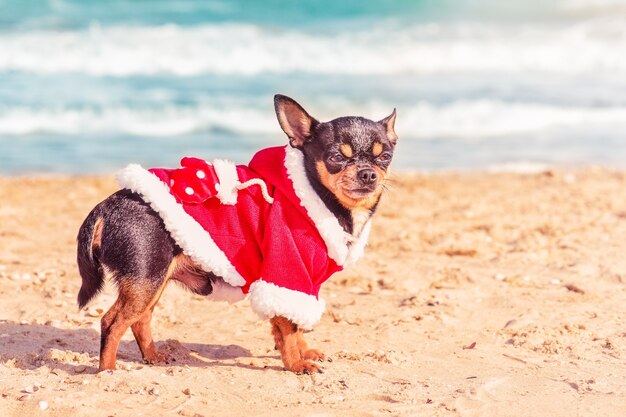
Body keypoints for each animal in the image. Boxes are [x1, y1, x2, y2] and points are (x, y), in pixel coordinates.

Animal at [77, 94, 394, 374]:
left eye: (386, 157)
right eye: (336, 157)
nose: (368, 173)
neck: (316, 197)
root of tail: (107, 206)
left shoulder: (303, 284)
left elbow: (290, 325)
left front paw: (302, 352)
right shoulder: (288, 271)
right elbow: (290, 328)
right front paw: (296, 363)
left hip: (152, 281)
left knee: (139, 320)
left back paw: (152, 357)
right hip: (146, 280)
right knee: (112, 322)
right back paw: (107, 371)